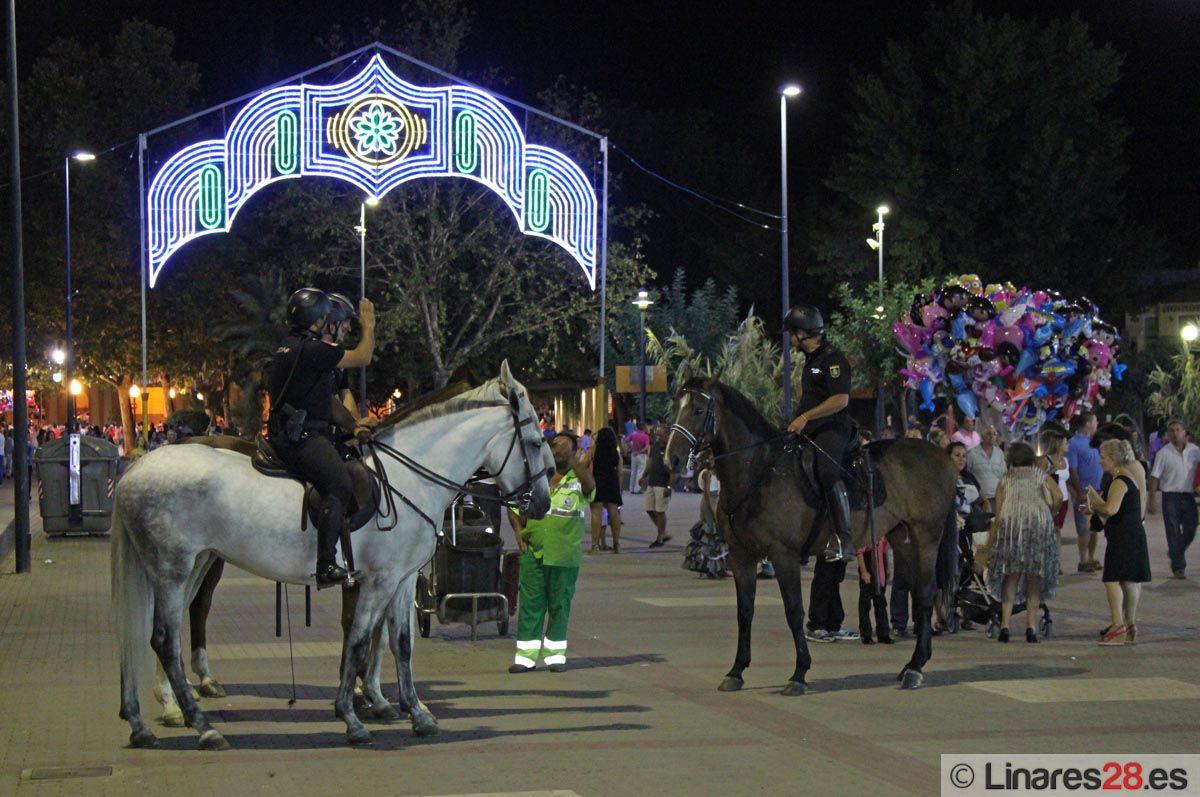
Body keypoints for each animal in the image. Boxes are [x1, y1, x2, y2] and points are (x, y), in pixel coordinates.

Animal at [110, 364, 549, 748]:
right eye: (535, 442)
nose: (542, 503)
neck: (408, 478)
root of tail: (137, 468)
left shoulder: (402, 580)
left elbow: (401, 642)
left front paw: (415, 713)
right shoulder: (377, 581)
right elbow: (359, 640)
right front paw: (352, 715)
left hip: (190, 565)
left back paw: (142, 721)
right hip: (174, 569)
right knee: (165, 640)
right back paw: (200, 725)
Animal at [667, 379, 955, 691]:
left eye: (697, 410)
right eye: (675, 407)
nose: (672, 458)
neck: (760, 473)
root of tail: (942, 456)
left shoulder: (784, 556)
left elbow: (794, 612)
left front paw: (800, 673)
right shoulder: (741, 556)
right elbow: (745, 612)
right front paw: (736, 670)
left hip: (926, 538)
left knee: (925, 595)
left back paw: (916, 667)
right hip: (901, 538)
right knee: (918, 593)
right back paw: (912, 664)